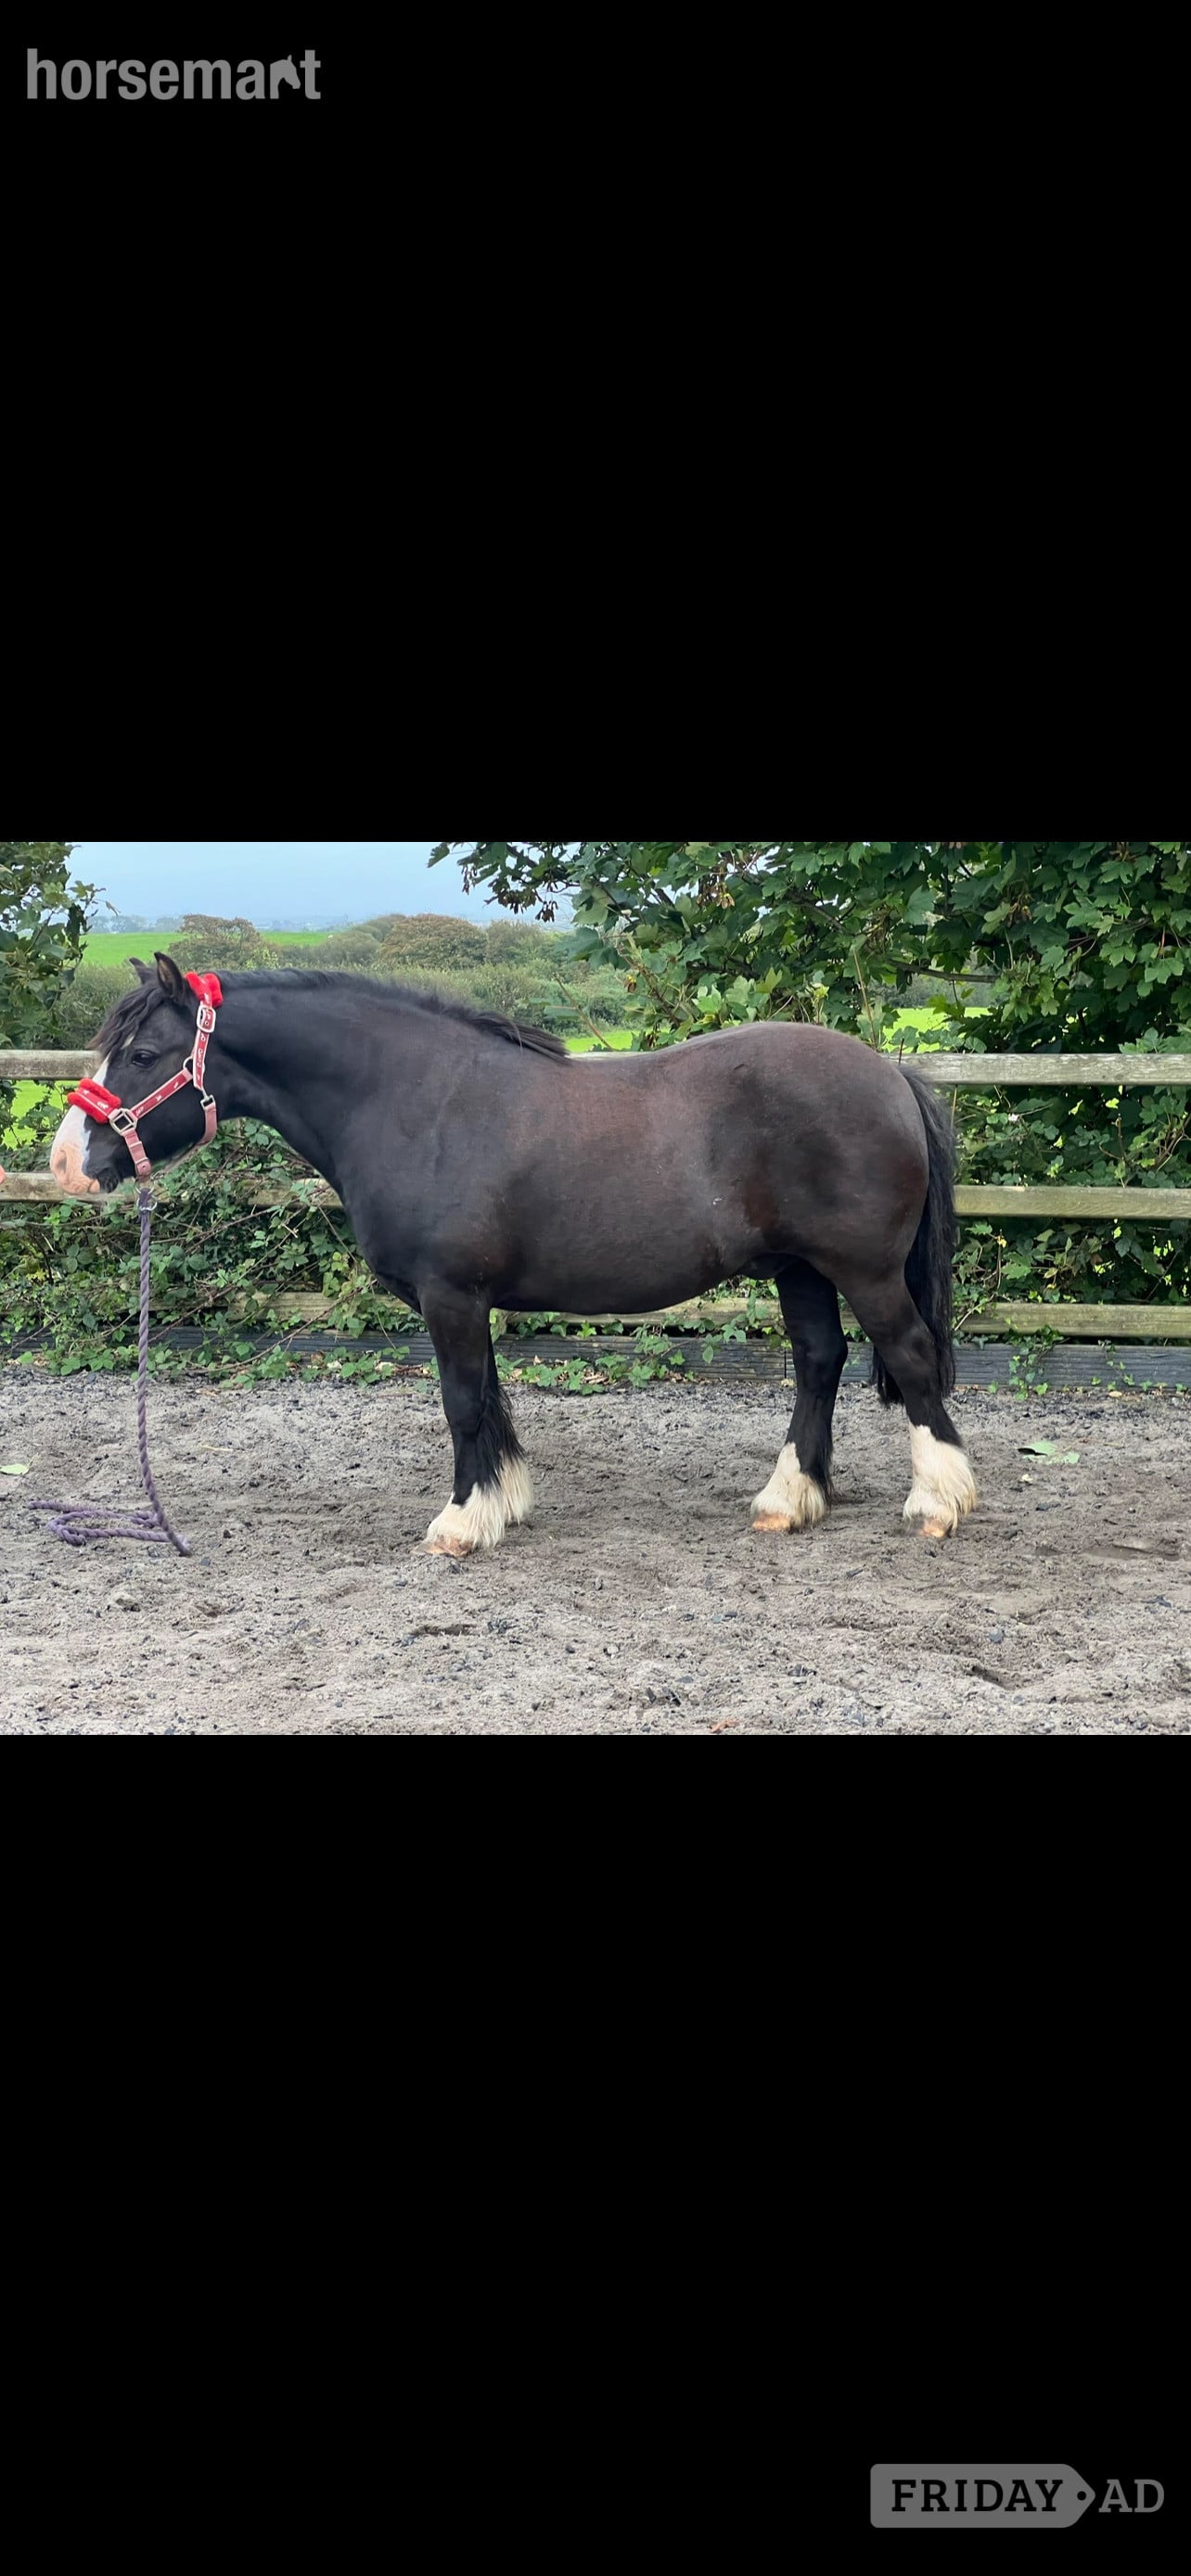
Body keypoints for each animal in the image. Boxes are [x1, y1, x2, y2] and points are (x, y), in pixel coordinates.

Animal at [49, 955, 977, 1554]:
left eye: (142, 1055)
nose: (64, 1163)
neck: (414, 1102)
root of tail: (891, 1076)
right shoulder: (464, 1299)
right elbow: (489, 1400)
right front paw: (501, 1505)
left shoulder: (450, 1295)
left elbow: (463, 1402)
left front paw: (461, 1523)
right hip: (800, 1270)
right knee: (820, 1359)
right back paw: (790, 1500)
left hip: (860, 1269)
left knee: (910, 1356)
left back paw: (937, 1504)